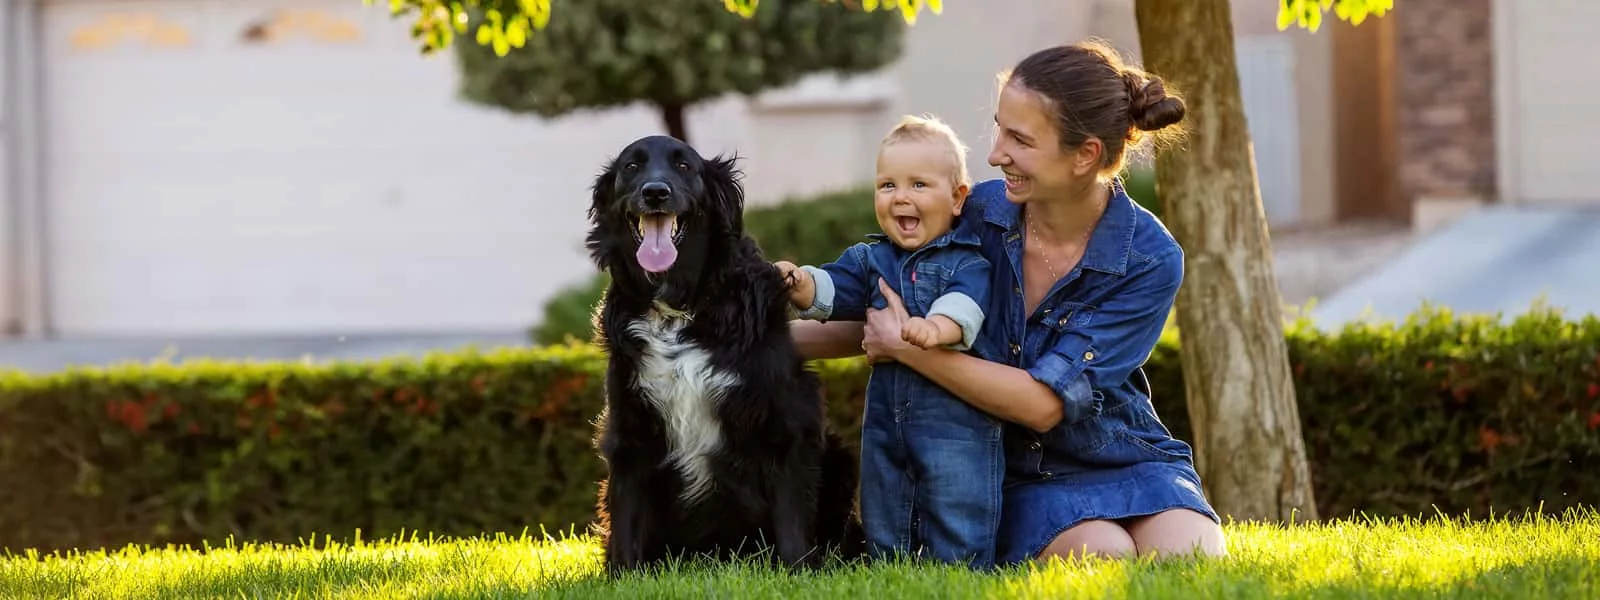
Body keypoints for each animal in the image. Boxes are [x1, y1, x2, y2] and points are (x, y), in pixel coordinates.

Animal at [585, 135, 864, 572]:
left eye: (684, 166)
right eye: (632, 167)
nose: (655, 192)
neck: (680, 311)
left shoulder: (785, 425)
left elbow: (791, 517)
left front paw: (798, 571)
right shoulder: (630, 428)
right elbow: (626, 519)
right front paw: (622, 575)